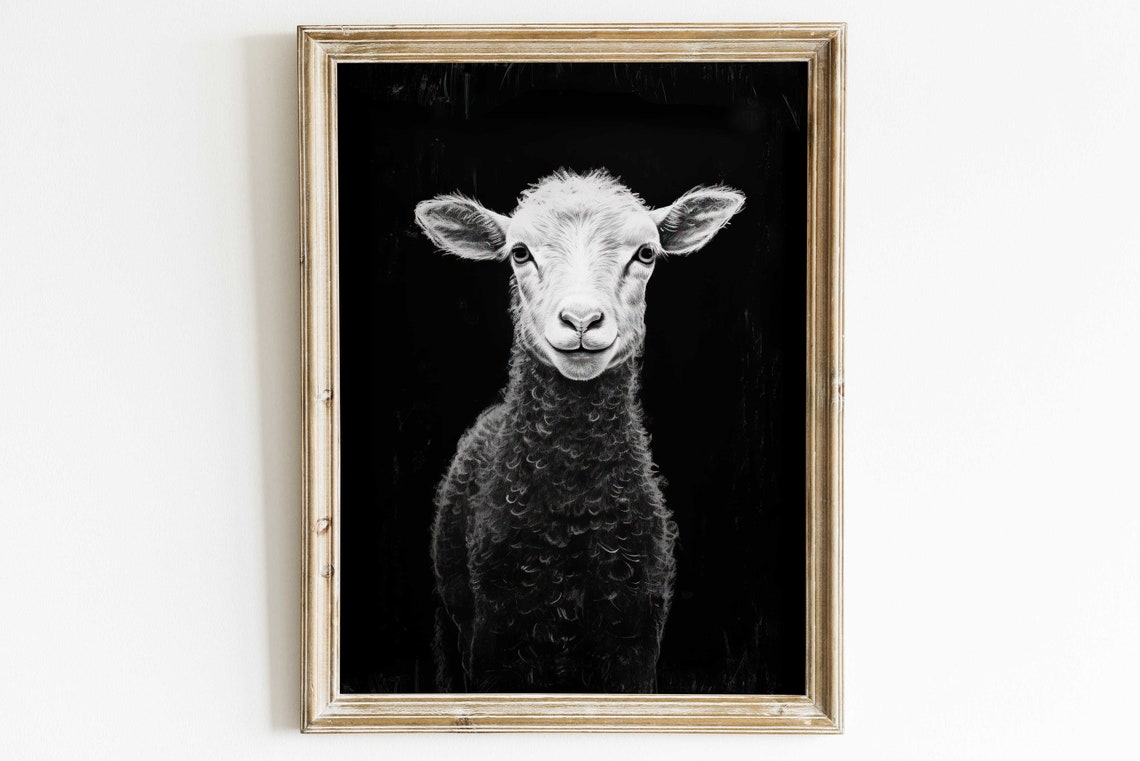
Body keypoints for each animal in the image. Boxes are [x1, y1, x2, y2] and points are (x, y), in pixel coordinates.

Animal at [415, 169, 745, 692]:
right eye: (519, 252)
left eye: (646, 253)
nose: (582, 320)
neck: (572, 515)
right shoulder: (491, 638)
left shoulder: (636, 636)